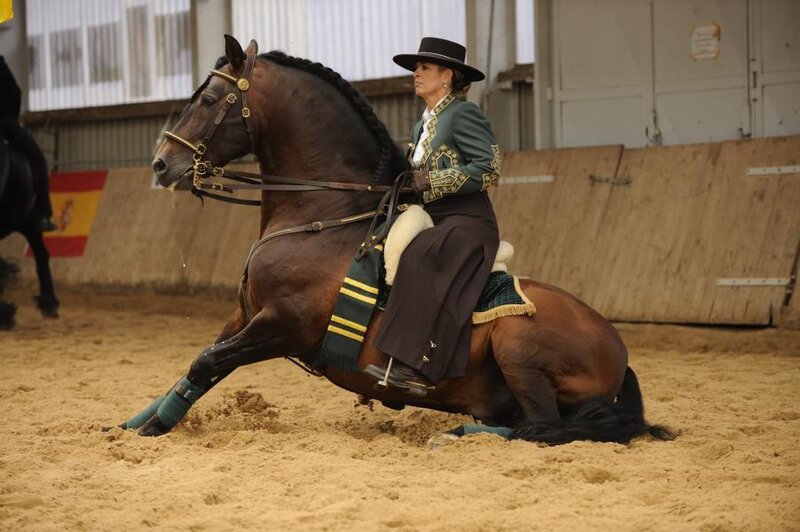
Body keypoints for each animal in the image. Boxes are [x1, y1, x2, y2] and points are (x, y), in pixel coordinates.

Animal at [124, 35, 673, 446]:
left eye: (208, 100)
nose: (162, 164)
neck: (324, 217)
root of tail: (619, 350)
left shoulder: (282, 327)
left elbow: (206, 361)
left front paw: (151, 430)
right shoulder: (244, 315)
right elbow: (197, 366)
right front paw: (137, 422)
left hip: (518, 344)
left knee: (542, 426)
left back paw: (453, 434)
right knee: (527, 422)